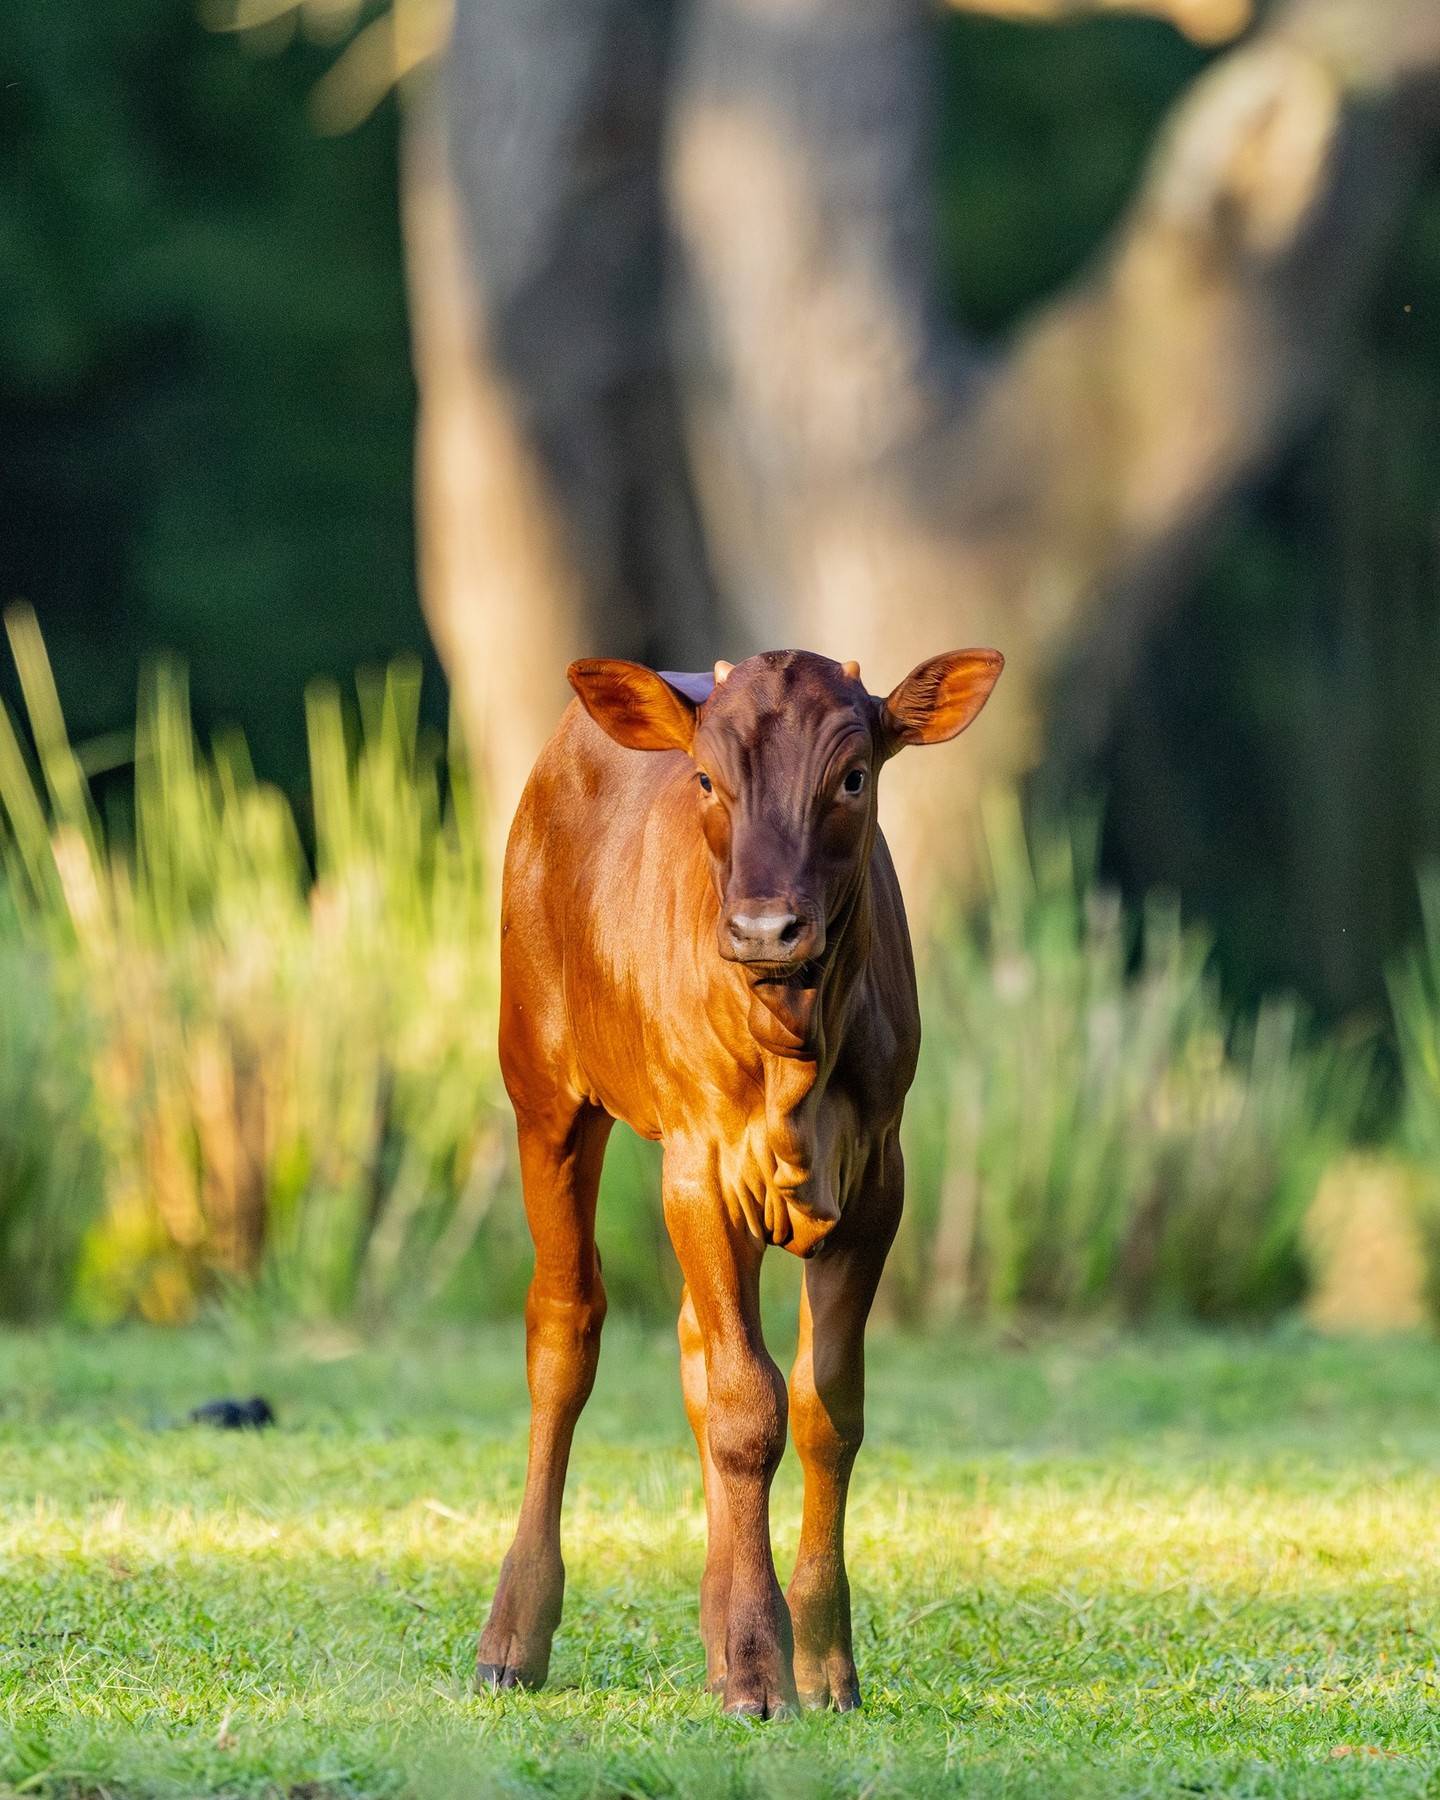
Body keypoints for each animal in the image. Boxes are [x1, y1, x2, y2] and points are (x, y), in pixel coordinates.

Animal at [476, 646, 1004, 1717]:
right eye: (707, 781)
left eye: (853, 777)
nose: (766, 928)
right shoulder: (699, 1163)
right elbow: (745, 1408)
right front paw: (762, 1669)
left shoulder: (878, 1175)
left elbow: (822, 1404)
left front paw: (817, 1660)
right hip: (541, 1082)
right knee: (565, 1327)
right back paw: (514, 1635)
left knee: (692, 1344)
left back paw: (719, 1629)